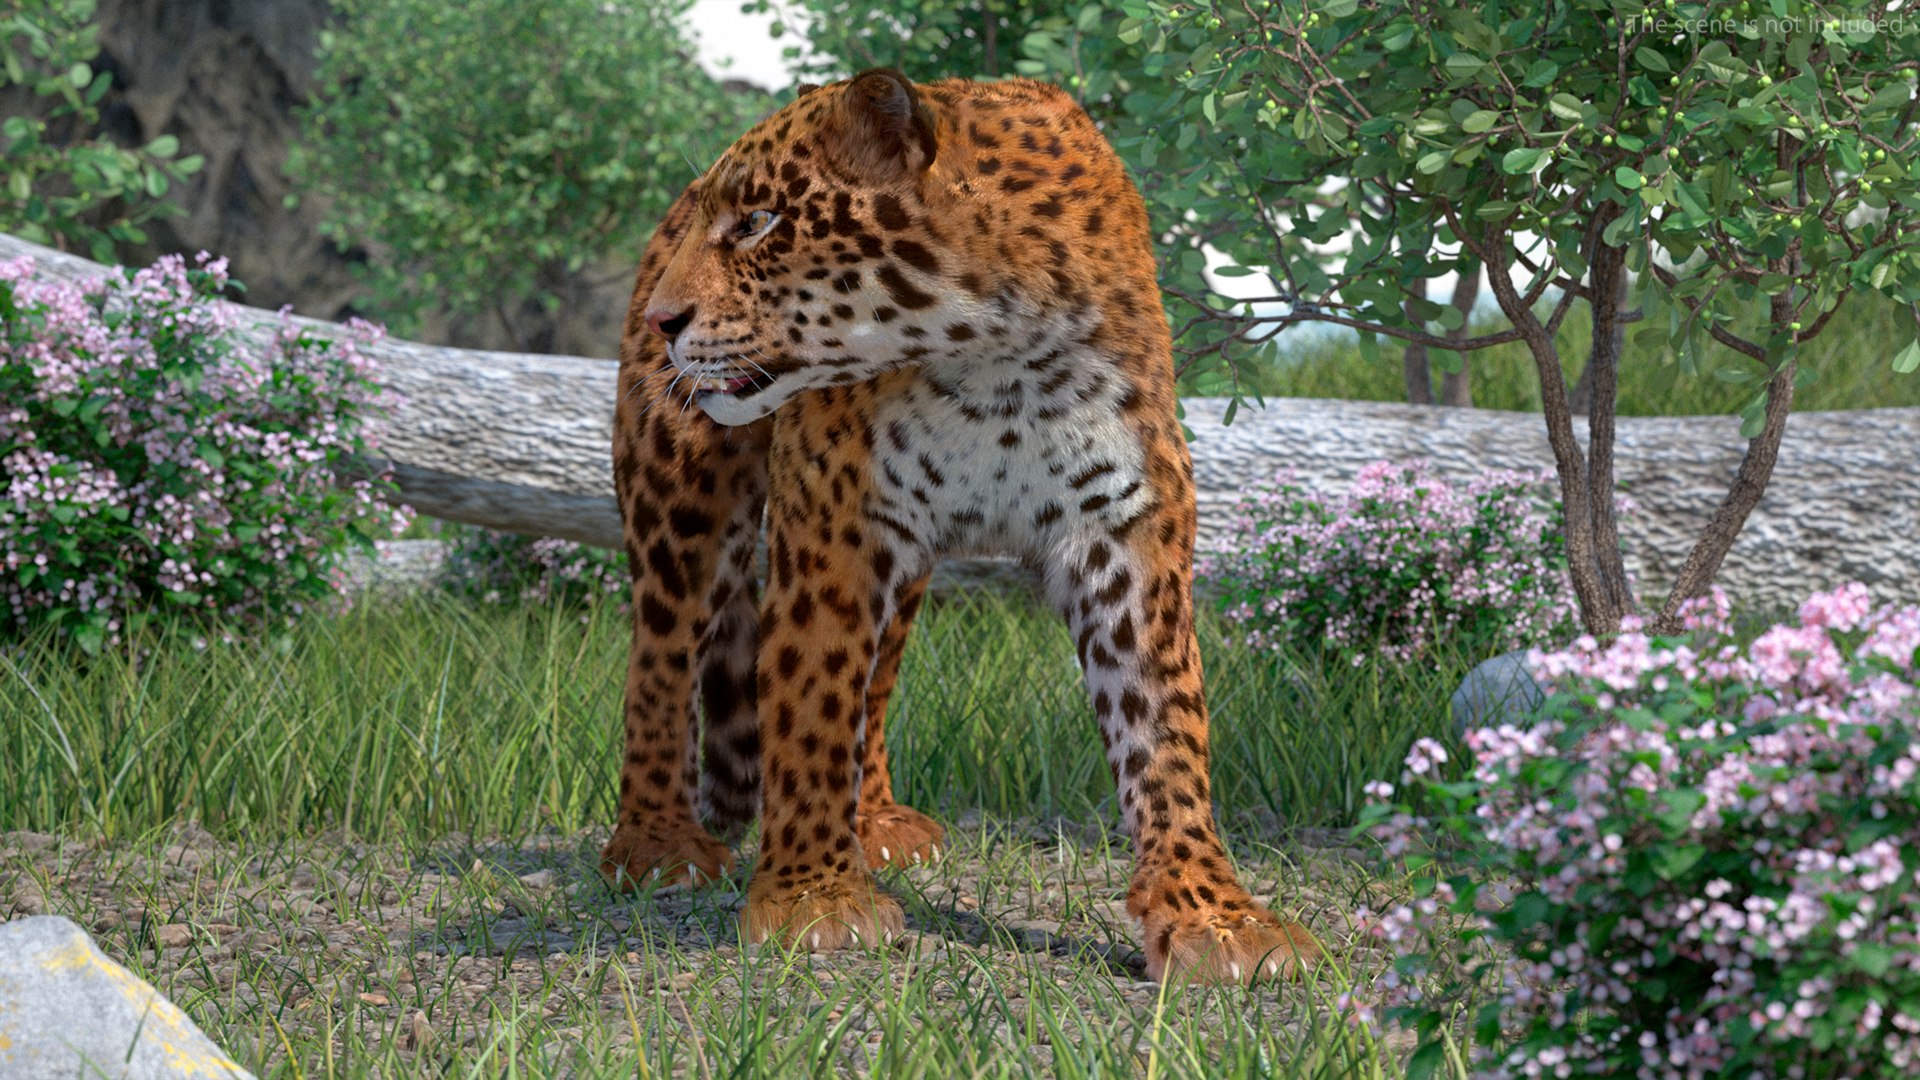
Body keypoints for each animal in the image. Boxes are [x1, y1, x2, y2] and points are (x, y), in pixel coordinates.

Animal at [598, 67, 1319, 983]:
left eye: (758, 222)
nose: (665, 322)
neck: (1000, 367)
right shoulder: (834, 527)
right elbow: (808, 702)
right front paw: (811, 900)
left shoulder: (1125, 528)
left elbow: (1165, 723)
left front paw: (1214, 917)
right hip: (684, 502)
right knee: (662, 661)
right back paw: (657, 844)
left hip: (906, 572)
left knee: (874, 682)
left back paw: (873, 823)